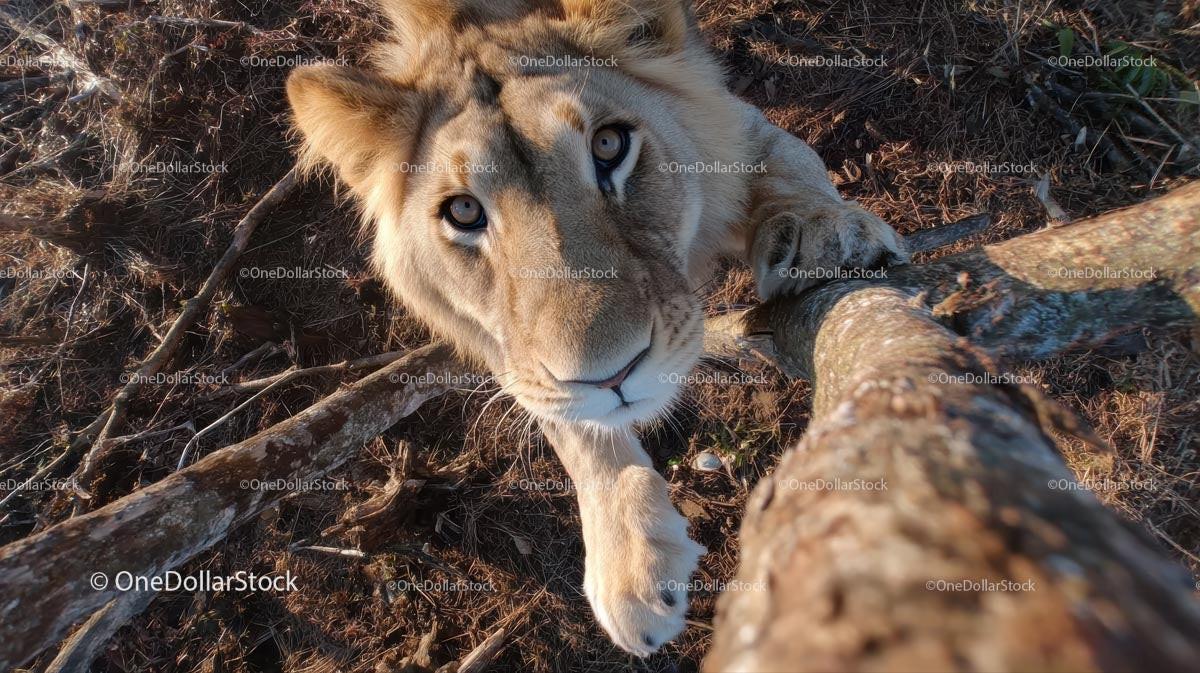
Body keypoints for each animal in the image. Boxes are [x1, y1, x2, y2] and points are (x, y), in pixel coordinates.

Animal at [287, 0, 906, 656]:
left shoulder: (739, 127)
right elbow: (571, 423)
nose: (613, 376)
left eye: (609, 145)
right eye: (464, 211)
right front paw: (628, 559)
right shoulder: (506, 350)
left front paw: (825, 230)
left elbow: (794, 165)